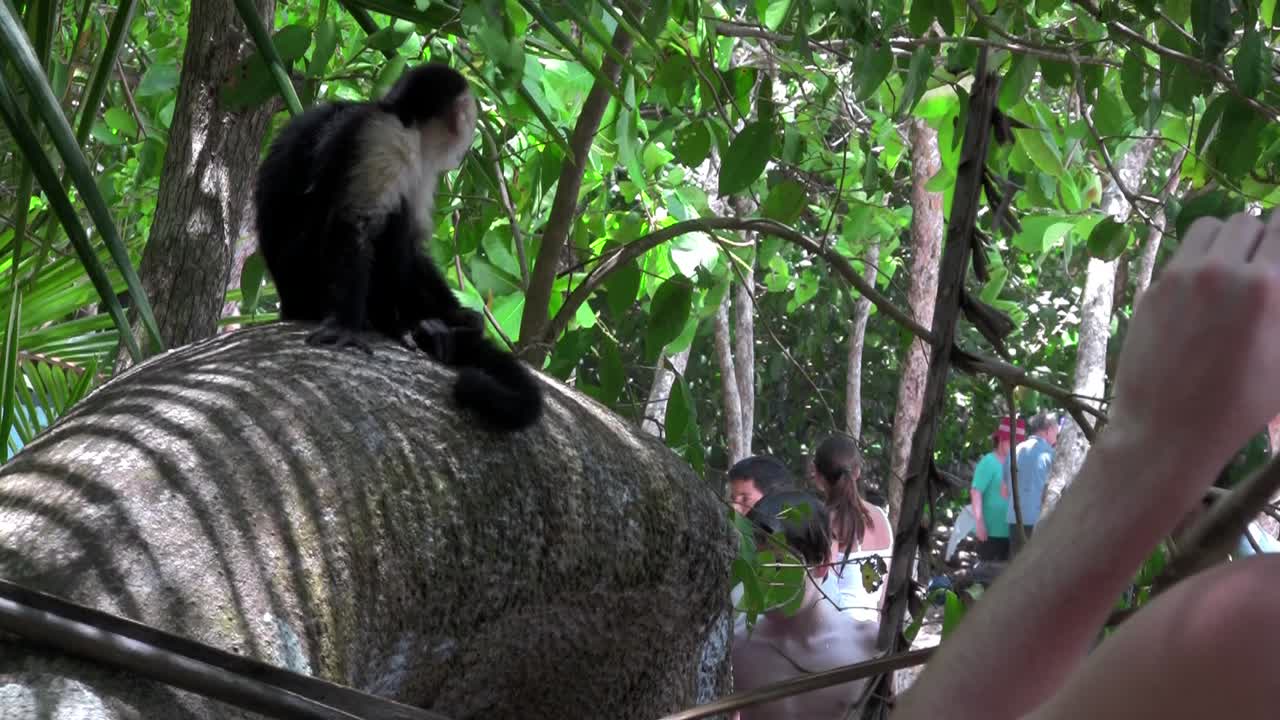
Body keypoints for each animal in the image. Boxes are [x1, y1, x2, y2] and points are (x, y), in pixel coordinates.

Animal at [252, 63, 543, 432]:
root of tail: (288, 301)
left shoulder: (422, 167)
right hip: (306, 275)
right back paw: (396, 323)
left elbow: (415, 246)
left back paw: (434, 329)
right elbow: (355, 223)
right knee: (389, 220)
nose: (469, 133)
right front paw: (345, 327)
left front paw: (458, 315)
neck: (406, 120)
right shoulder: (385, 138)